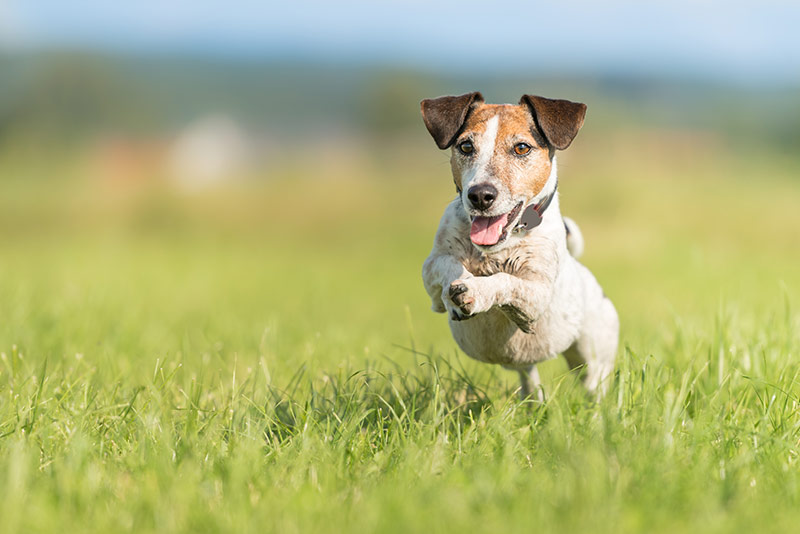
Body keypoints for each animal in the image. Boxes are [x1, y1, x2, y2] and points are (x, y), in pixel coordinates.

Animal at [418, 93, 620, 402]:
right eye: (466, 146)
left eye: (522, 148)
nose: (480, 195)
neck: (498, 247)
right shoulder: (431, 272)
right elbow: (448, 265)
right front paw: (459, 289)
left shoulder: (536, 294)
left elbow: (505, 280)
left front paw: (475, 291)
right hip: (527, 367)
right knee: (530, 381)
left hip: (593, 358)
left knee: (595, 388)